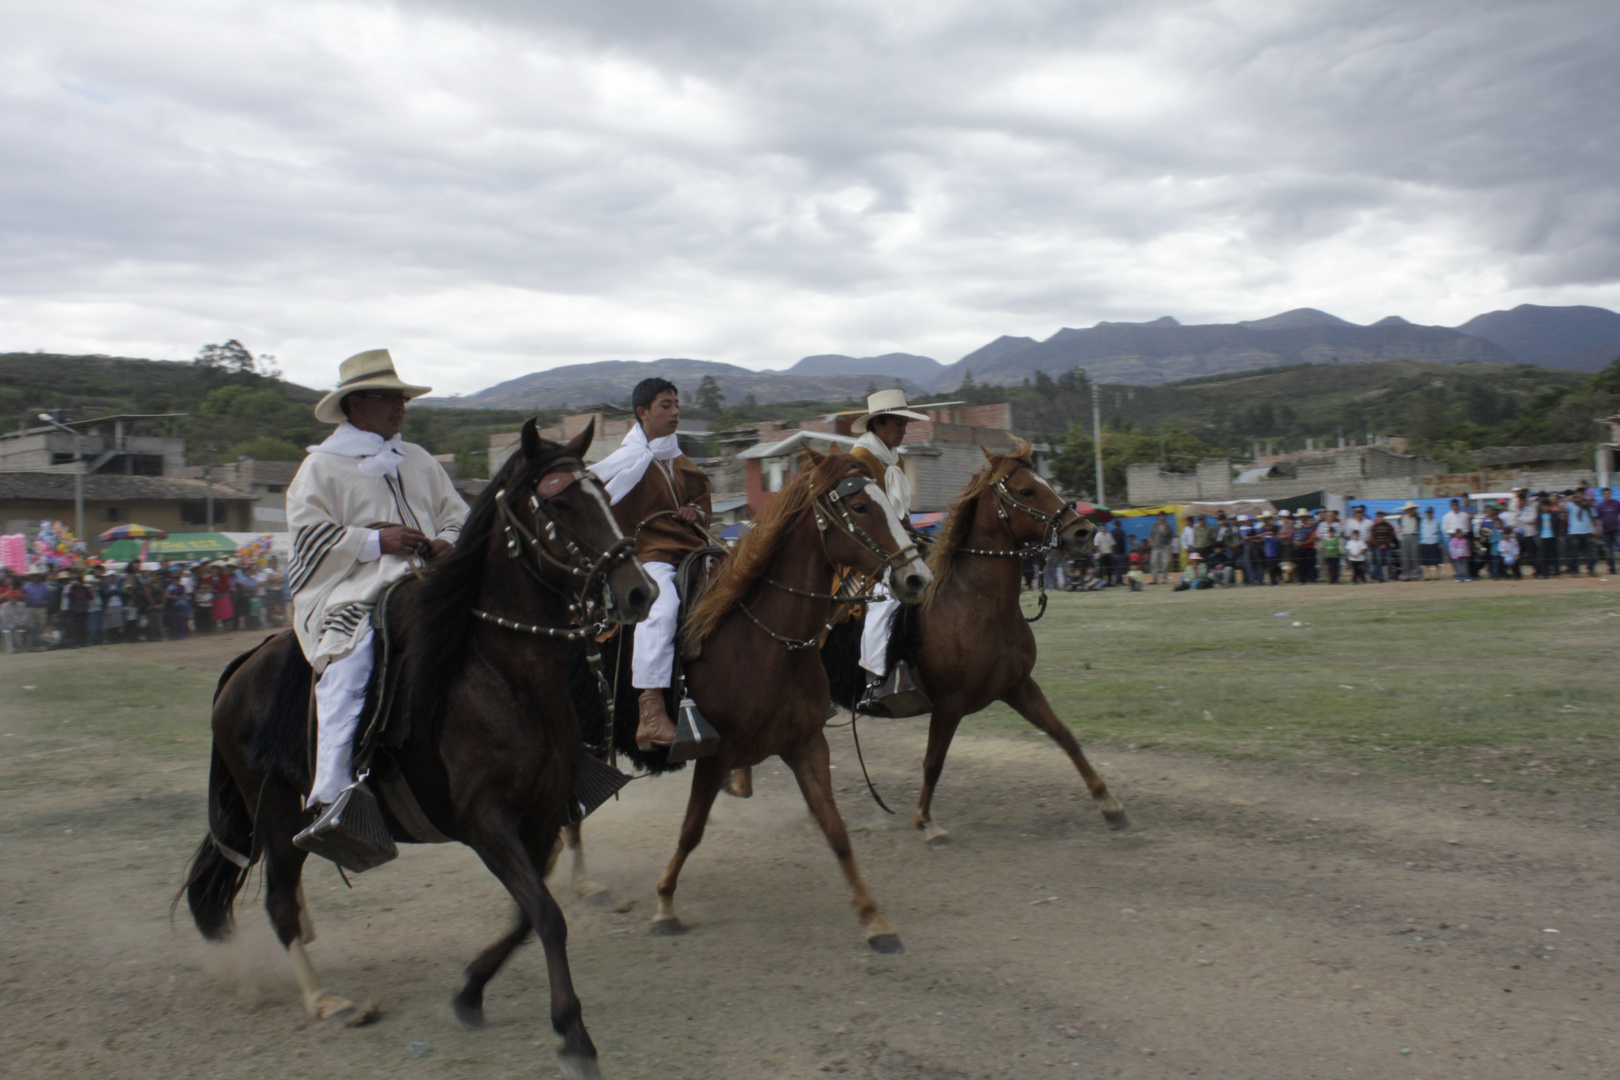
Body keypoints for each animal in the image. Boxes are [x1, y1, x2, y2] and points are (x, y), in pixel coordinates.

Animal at [179, 420, 651, 1080]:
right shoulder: (486, 823)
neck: (501, 675)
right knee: (278, 901)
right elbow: (548, 916)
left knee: (288, 898)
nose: (640, 591)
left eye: (605, 493)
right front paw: (573, 1032)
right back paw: (323, 999)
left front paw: (471, 990)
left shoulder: (537, 819)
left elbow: (528, 913)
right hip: (272, 813)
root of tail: (244, 665)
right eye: (558, 503)